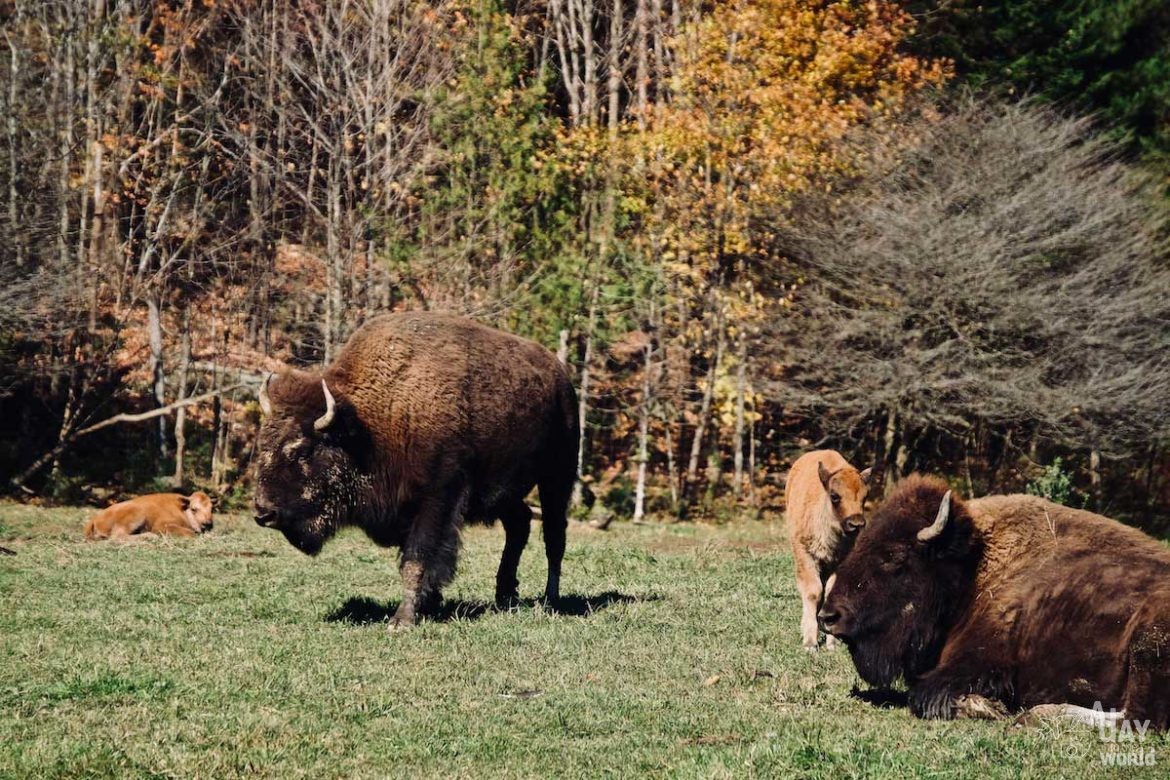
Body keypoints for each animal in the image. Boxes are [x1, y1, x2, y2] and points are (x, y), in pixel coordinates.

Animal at [83, 491, 214, 540]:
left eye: (211, 509)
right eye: (194, 509)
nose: (208, 524)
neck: (181, 509)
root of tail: (95, 518)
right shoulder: (161, 526)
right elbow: (190, 533)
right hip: (138, 513)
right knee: (118, 536)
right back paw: (149, 536)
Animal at [253, 308, 577, 626]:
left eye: (303, 450)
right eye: (263, 443)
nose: (263, 512)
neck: (369, 425)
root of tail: (561, 375)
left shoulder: (437, 498)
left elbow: (417, 558)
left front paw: (403, 619)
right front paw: (429, 604)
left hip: (557, 476)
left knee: (554, 536)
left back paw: (550, 600)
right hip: (503, 492)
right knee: (519, 523)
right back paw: (505, 596)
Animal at [819, 477, 1170, 734]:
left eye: (893, 556)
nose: (828, 616)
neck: (974, 568)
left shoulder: (979, 661)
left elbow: (923, 694)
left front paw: (990, 708)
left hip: (1148, 642)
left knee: (1137, 719)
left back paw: (1035, 714)